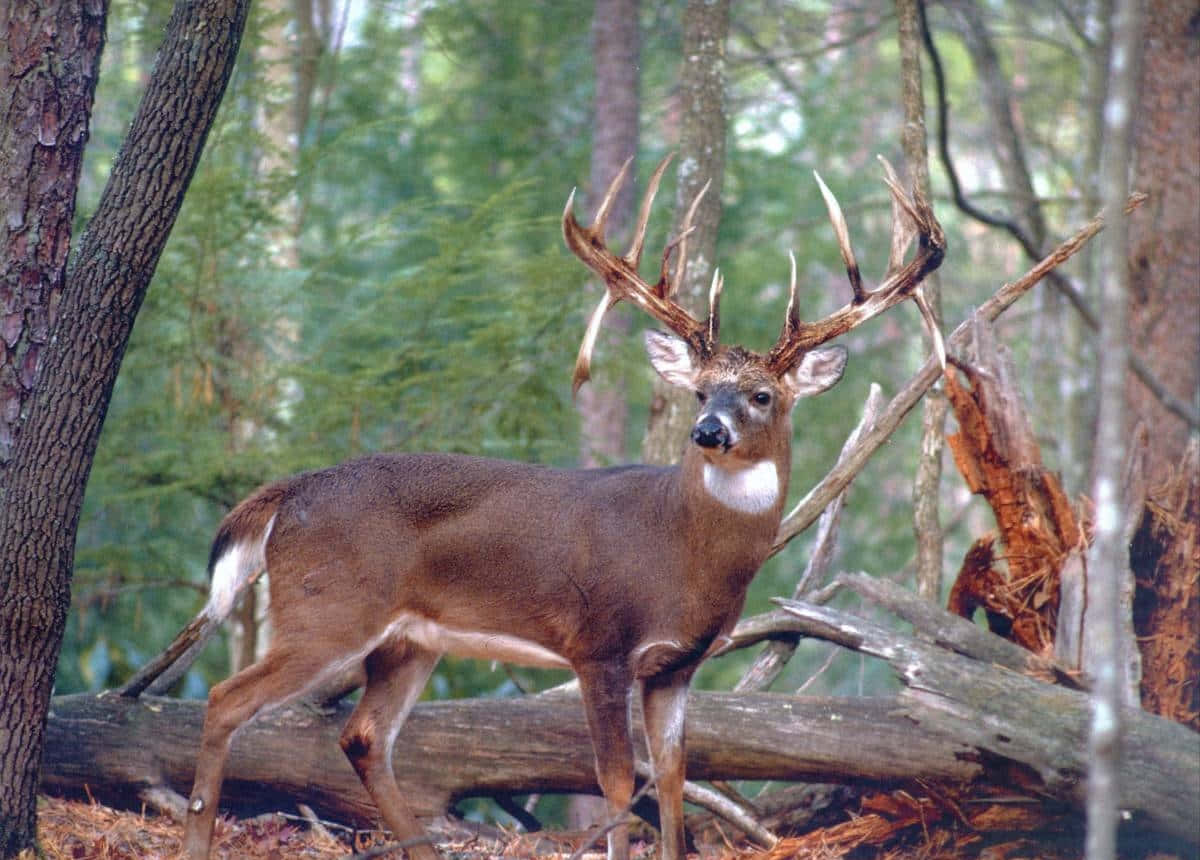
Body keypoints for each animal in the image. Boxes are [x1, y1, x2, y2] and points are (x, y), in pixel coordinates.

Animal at [176, 153, 944, 860]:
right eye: (700, 392)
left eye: (761, 396)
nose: (707, 432)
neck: (683, 552)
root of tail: (290, 491)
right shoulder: (598, 642)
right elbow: (614, 782)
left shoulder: (677, 664)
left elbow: (672, 777)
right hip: (328, 607)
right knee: (225, 699)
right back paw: (195, 838)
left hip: (408, 639)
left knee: (363, 736)